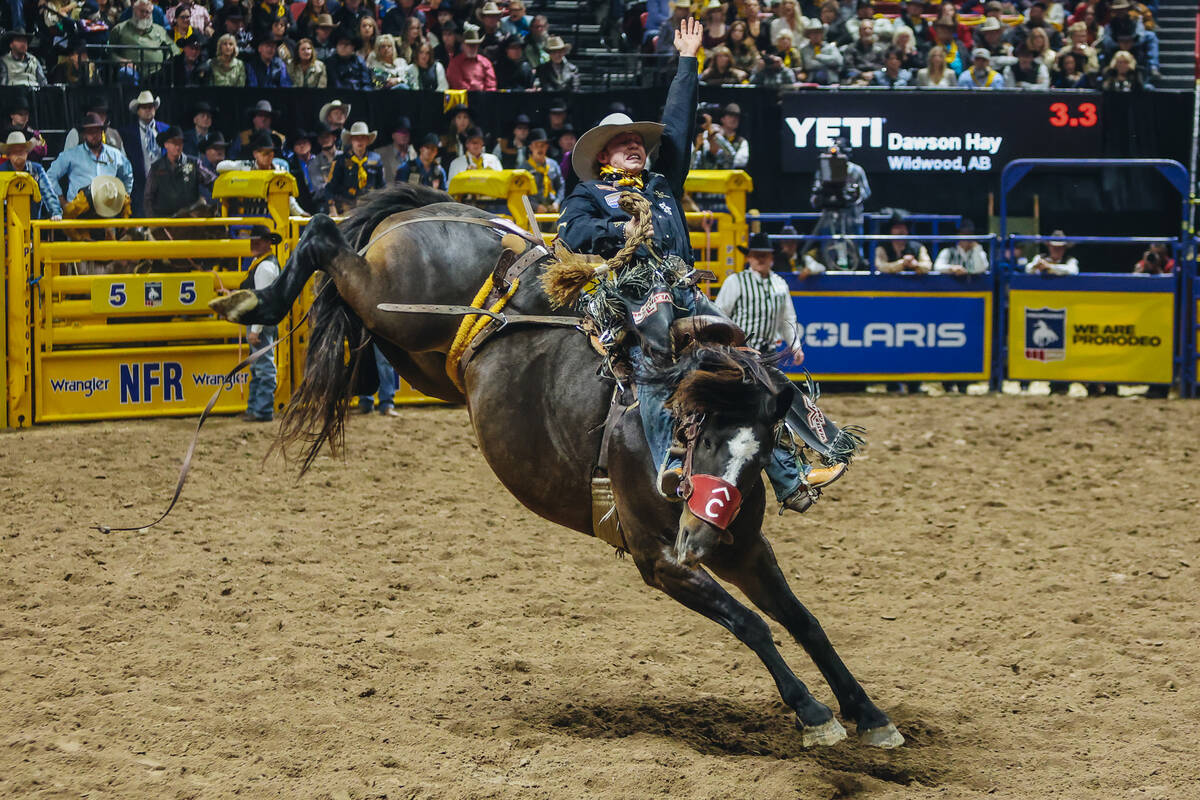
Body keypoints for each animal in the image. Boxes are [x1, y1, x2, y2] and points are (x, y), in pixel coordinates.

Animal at [208, 183, 902, 753]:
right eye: (696, 433)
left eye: (759, 451)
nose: (702, 536)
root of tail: (454, 212)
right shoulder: (662, 562)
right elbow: (754, 625)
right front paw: (814, 714)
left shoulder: (745, 546)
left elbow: (802, 620)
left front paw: (868, 713)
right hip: (391, 301)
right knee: (323, 234)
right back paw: (253, 302)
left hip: (415, 352)